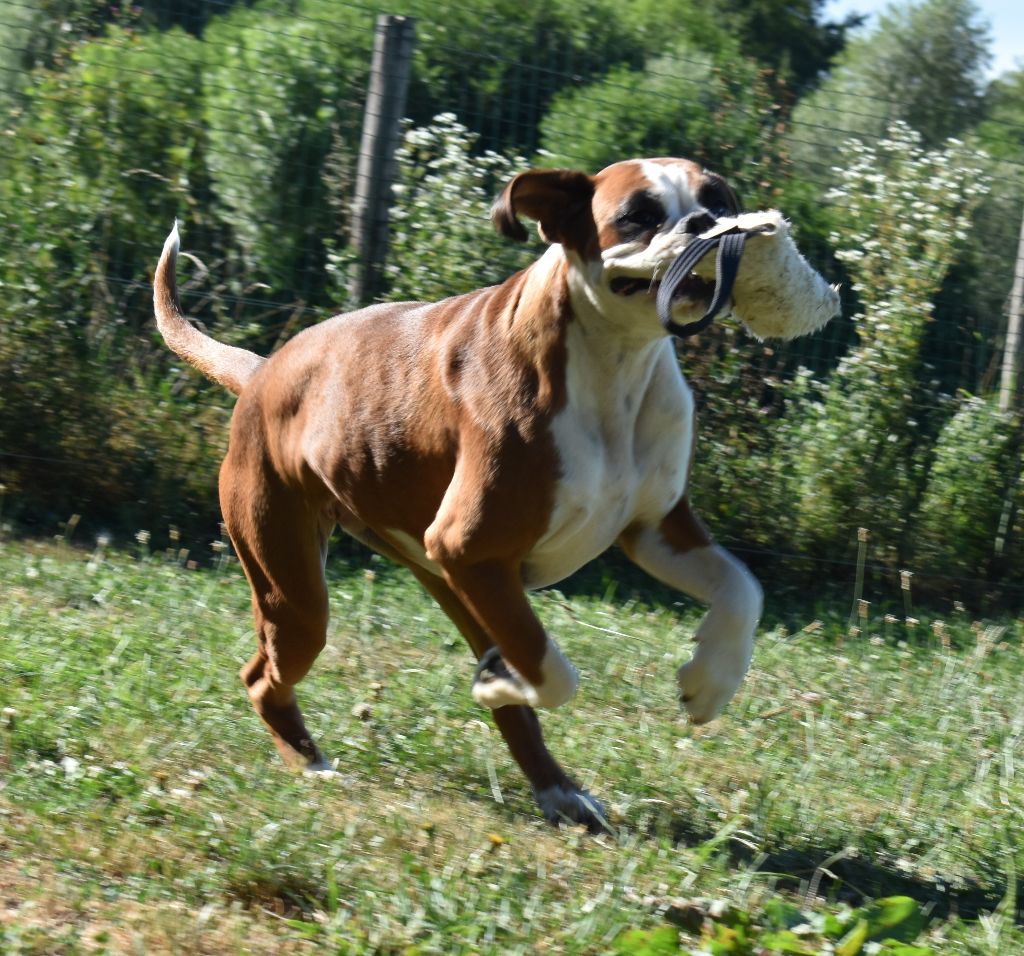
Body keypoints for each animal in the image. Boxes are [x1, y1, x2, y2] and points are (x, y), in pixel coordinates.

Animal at [153, 157, 831, 831]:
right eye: (638, 215)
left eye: (720, 200)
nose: (708, 226)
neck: (614, 362)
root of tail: (261, 372)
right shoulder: (473, 547)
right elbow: (551, 671)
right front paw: (503, 682)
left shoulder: (656, 530)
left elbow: (742, 588)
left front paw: (710, 682)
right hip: (302, 593)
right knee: (262, 675)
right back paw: (310, 763)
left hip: (452, 581)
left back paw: (560, 793)